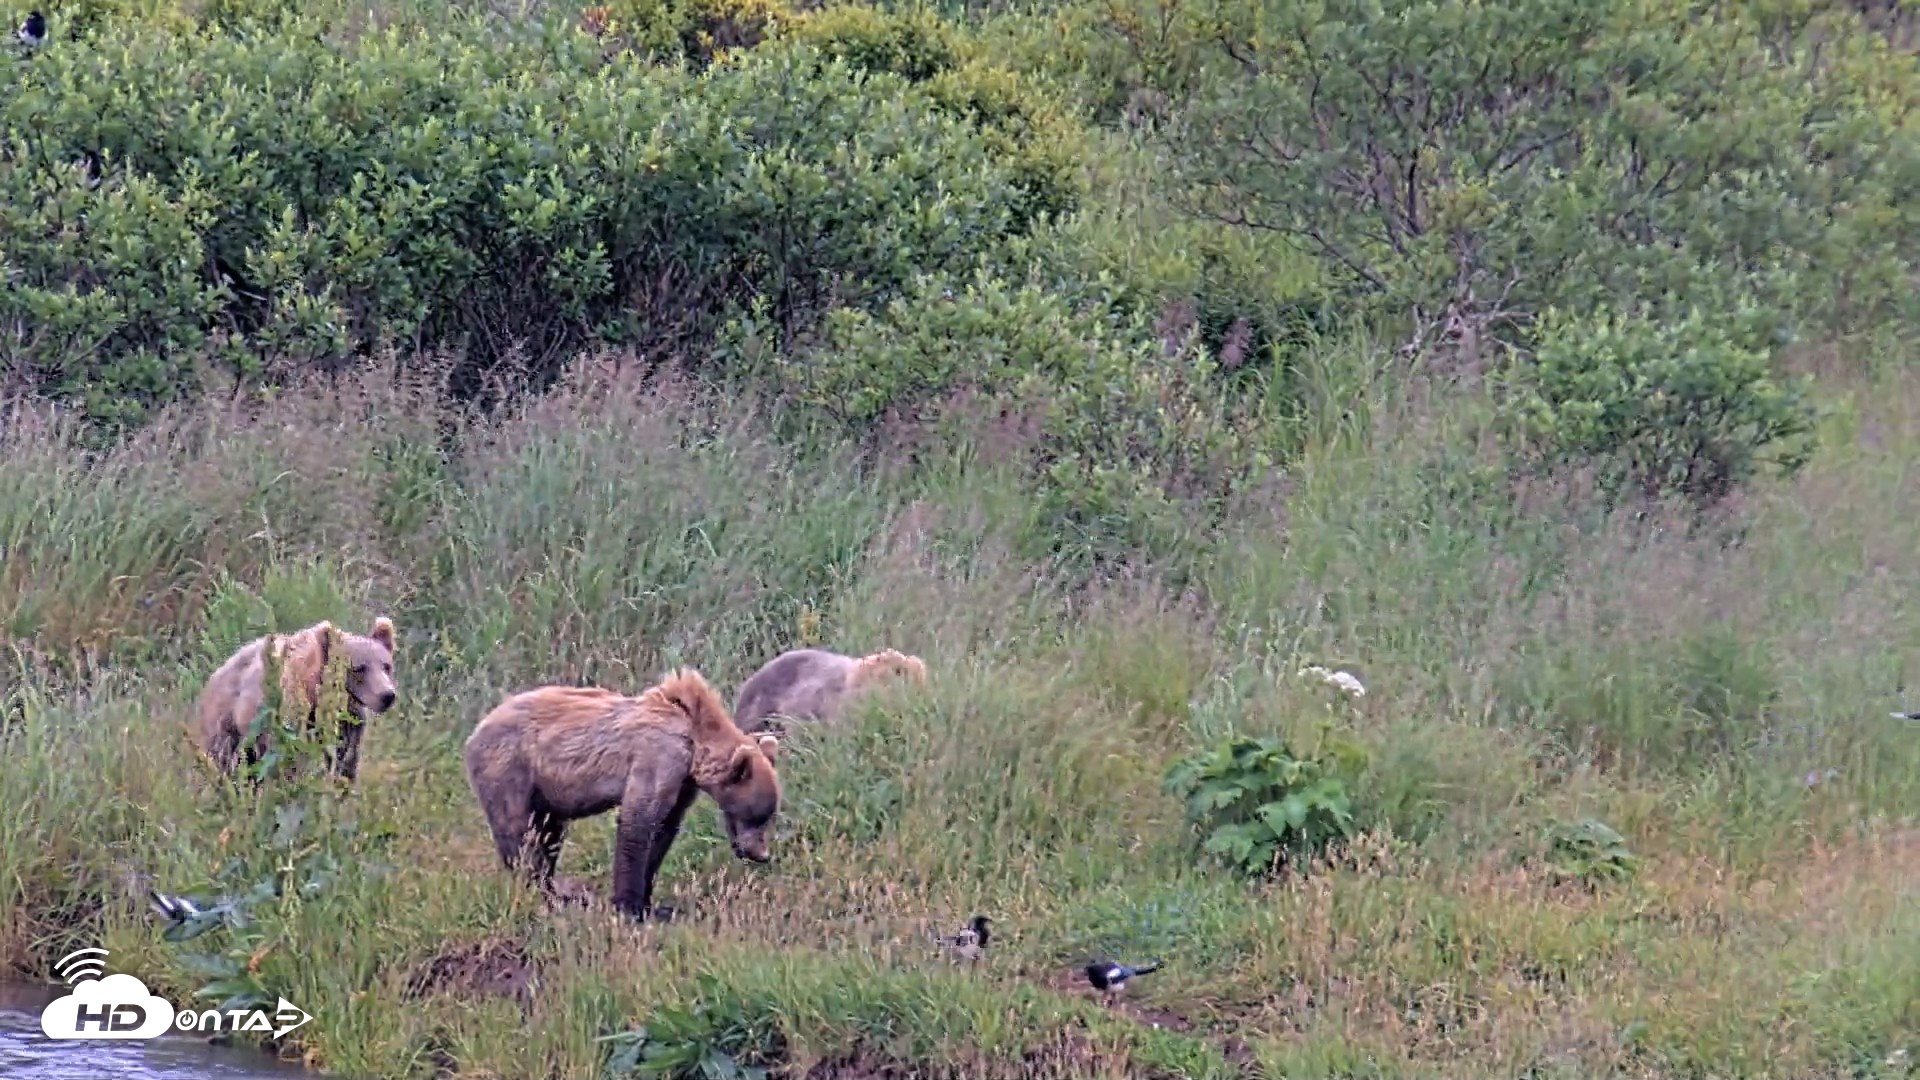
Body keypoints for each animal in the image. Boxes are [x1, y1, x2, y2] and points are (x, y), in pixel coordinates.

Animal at [193, 617, 399, 784]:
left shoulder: (348, 724)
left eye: (386, 666)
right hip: (229, 720)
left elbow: (345, 760)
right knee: (225, 757)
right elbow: (292, 760)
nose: (387, 695)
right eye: (359, 668)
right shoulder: (291, 716)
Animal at [462, 667, 783, 921]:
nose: (762, 854)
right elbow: (639, 821)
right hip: (509, 769)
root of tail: (475, 731)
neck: (695, 739)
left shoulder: (682, 782)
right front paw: (628, 906)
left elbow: (664, 828)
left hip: (546, 791)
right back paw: (543, 894)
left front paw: (649, 902)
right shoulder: (658, 756)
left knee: (549, 834)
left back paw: (557, 891)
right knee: (519, 834)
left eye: (768, 816)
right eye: (757, 815)